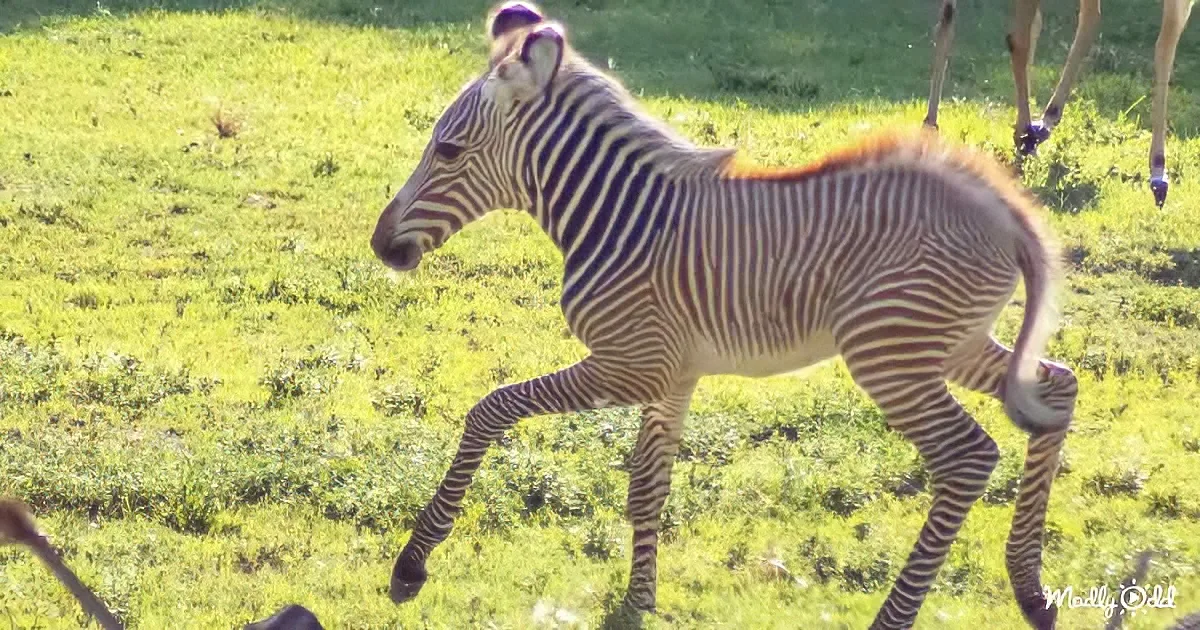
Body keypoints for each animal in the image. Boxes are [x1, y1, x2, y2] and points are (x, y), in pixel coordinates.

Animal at [370, 2, 1079, 628]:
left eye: (449, 151)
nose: (380, 244)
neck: (619, 218)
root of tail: (1003, 207)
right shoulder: (673, 375)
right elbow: (646, 487)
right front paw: (640, 599)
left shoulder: (631, 364)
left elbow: (491, 408)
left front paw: (413, 562)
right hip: (948, 343)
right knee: (1057, 387)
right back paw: (1031, 589)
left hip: (890, 355)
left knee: (968, 456)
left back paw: (896, 617)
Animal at [922, 0, 1195, 207]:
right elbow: (949, 19)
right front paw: (930, 126)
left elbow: (1019, 41)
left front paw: (1024, 137)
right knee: (1094, 18)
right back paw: (1045, 122)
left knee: (1165, 38)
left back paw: (1158, 174)